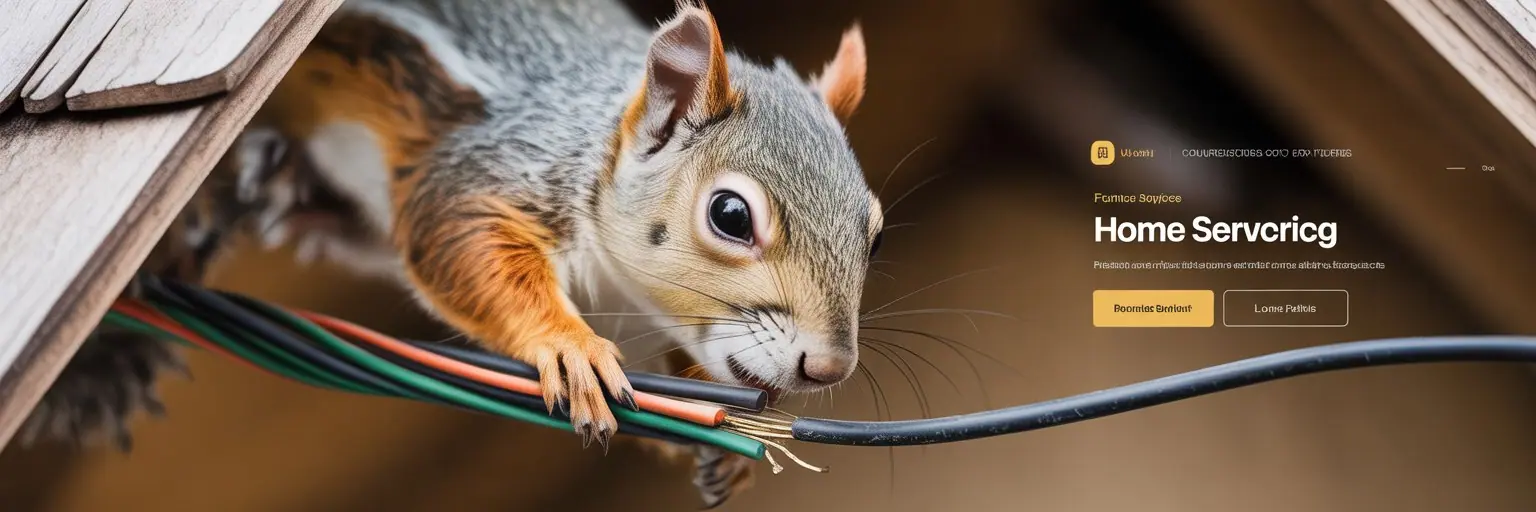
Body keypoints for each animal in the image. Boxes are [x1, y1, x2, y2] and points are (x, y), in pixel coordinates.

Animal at [21, 0, 879, 507]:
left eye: (871, 228)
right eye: (730, 215)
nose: (829, 367)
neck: (618, 295)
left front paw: (721, 440)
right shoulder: (490, 164)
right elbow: (456, 235)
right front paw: (566, 347)